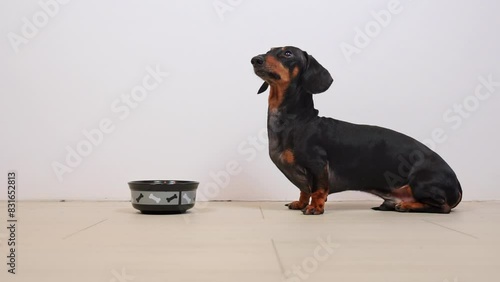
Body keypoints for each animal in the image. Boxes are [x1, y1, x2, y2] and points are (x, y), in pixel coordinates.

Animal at [252, 46, 462, 215]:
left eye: (287, 53)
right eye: (269, 50)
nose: (255, 59)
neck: (298, 120)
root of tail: (458, 186)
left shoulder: (318, 165)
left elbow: (317, 190)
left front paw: (315, 208)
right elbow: (304, 190)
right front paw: (300, 203)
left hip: (421, 183)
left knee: (443, 207)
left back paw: (407, 206)